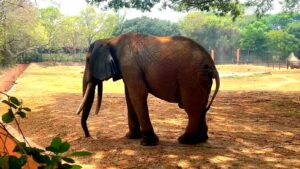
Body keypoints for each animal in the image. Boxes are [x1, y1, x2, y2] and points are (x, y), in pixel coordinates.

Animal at [76, 32, 219, 146]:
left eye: (87, 60)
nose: (89, 136)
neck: (110, 40)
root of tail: (211, 63)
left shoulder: (129, 65)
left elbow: (138, 95)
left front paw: (147, 142)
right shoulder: (128, 69)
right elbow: (129, 96)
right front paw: (130, 137)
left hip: (190, 78)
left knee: (191, 108)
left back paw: (184, 140)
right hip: (202, 79)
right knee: (202, 107)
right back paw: (200, 139)